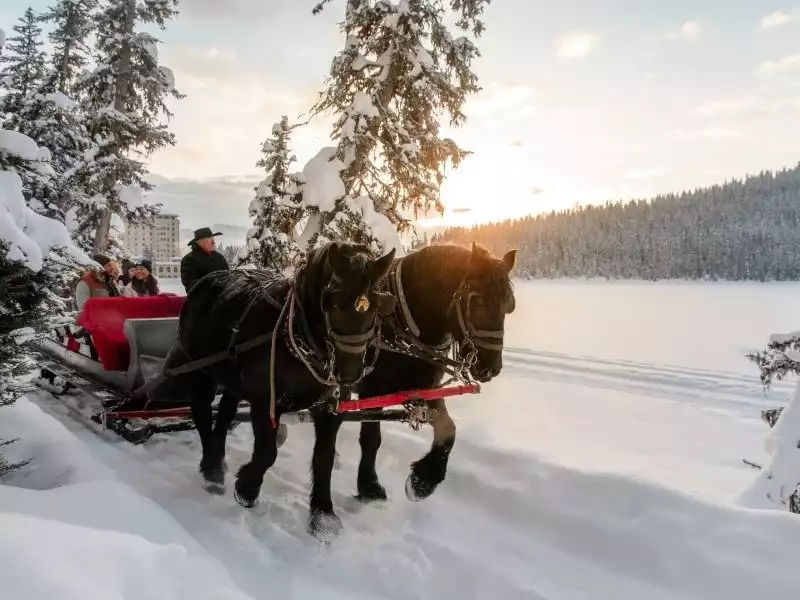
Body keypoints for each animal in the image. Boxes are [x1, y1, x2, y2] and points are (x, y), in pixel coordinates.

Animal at [163, 241, 396, 532]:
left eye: (377, 304)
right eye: (331, 298)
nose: (349, 373)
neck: (296, 332)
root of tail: (203, 283)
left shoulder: (329, 408)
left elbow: (324, 458)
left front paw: (323, 516)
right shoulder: (266, 401)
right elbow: (267, 452)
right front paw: (246, 488)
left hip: (232, 378)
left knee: (225, 413)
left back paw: (219, 459)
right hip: (201, 369)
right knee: (203, 412)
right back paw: (212, 471)